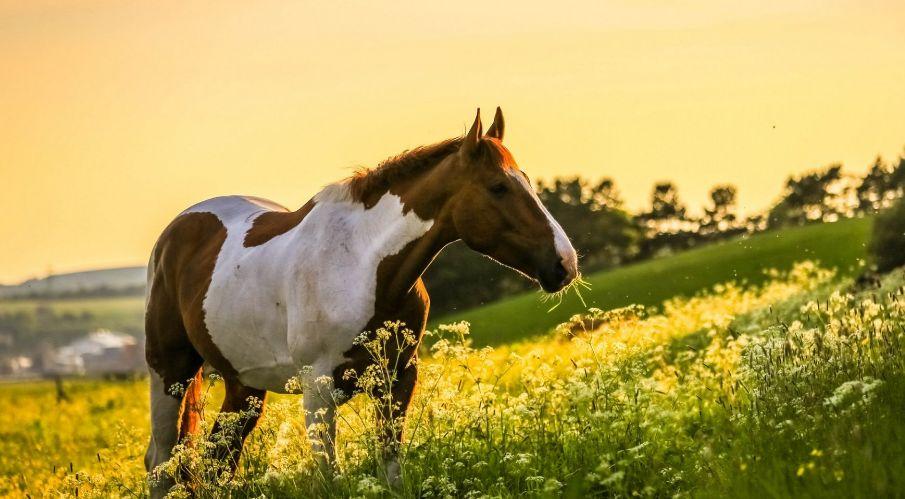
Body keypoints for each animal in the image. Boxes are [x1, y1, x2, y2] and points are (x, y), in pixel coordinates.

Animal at [144, 106, 576, 496]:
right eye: (498, 187)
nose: (565, 263)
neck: (363, 263)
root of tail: (175, 232)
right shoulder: (317, 388)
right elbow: (329, 476)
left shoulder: (398, 378)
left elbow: (391, 464)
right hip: (170, 373)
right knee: (160, 461)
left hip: (243, 385)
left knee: (219, 459)